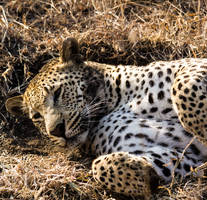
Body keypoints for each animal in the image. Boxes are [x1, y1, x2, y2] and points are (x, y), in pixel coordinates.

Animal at [4, 38, 207, 200]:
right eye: (37, 116)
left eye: (58, 92)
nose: (56, 130)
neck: (111, 105)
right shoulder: (190, 156)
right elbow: (99, 166)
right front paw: (145, 176)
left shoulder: (195, 65)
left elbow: (183, 88)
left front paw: (203, 129)